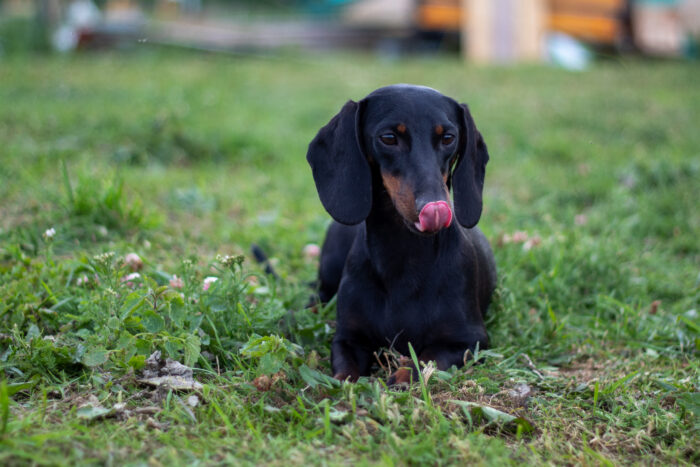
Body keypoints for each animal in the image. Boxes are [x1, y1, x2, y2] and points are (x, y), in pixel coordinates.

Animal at [308, 84, 498, 384]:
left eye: (448, 137)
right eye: (388, 138)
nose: (434, 206)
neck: (404, 256)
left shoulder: (468, 341)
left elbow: (423, 361)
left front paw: (400, 377)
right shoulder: (347, 339)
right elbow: (344, 374)